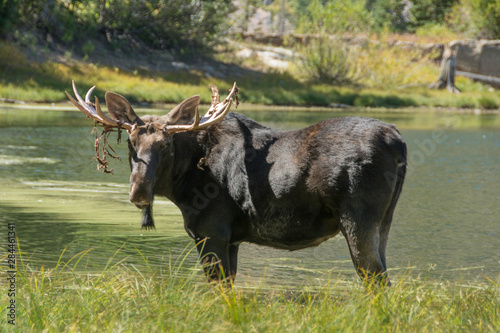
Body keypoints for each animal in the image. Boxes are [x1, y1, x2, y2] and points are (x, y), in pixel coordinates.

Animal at [66, 81, 408, 286]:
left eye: (166, 145)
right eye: (131, 143)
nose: (139, 190)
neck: (182, 186)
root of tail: (398, 140)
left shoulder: (211, 231)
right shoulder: (232, 239)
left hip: (358, 218)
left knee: (375, 280)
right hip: (385, 222)